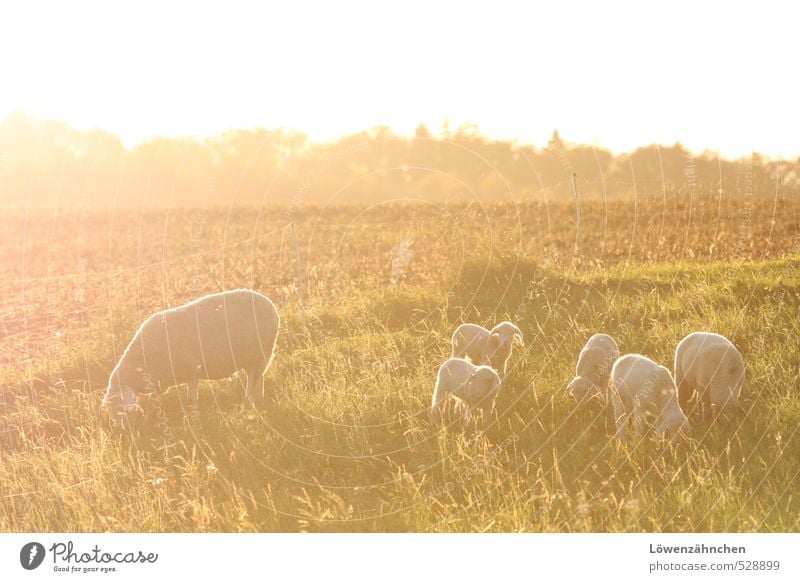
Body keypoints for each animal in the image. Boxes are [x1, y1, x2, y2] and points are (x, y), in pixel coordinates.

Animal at [101, 288, 280, 428]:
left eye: (121, 408)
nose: (125, 432)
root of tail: (269, 303)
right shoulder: (159, 383)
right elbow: (153, 405)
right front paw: (146, 425)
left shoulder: (192, 372)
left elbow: (191, 400)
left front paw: (194, 422)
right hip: (253, 359)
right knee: (259, 380)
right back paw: (259, 403)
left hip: (262, 353)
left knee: (253, 383)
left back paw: (249, 406)